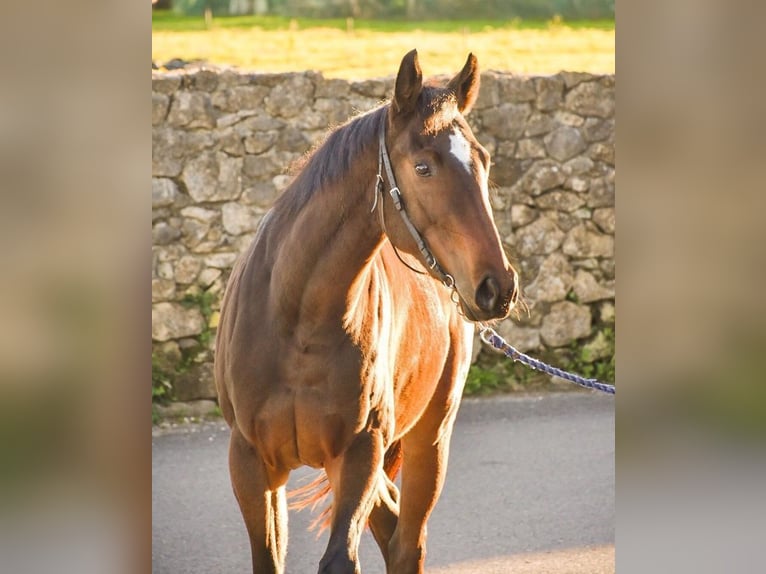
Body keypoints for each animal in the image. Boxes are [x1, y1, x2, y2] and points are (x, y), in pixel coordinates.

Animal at [216, 50, 520, 574]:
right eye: (423, 167)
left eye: (483, 161)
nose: (496, 287)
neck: (297, 322)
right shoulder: (251, 463)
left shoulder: (360, 453)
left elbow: (341, 558)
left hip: (429, 441)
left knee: (407, 542)